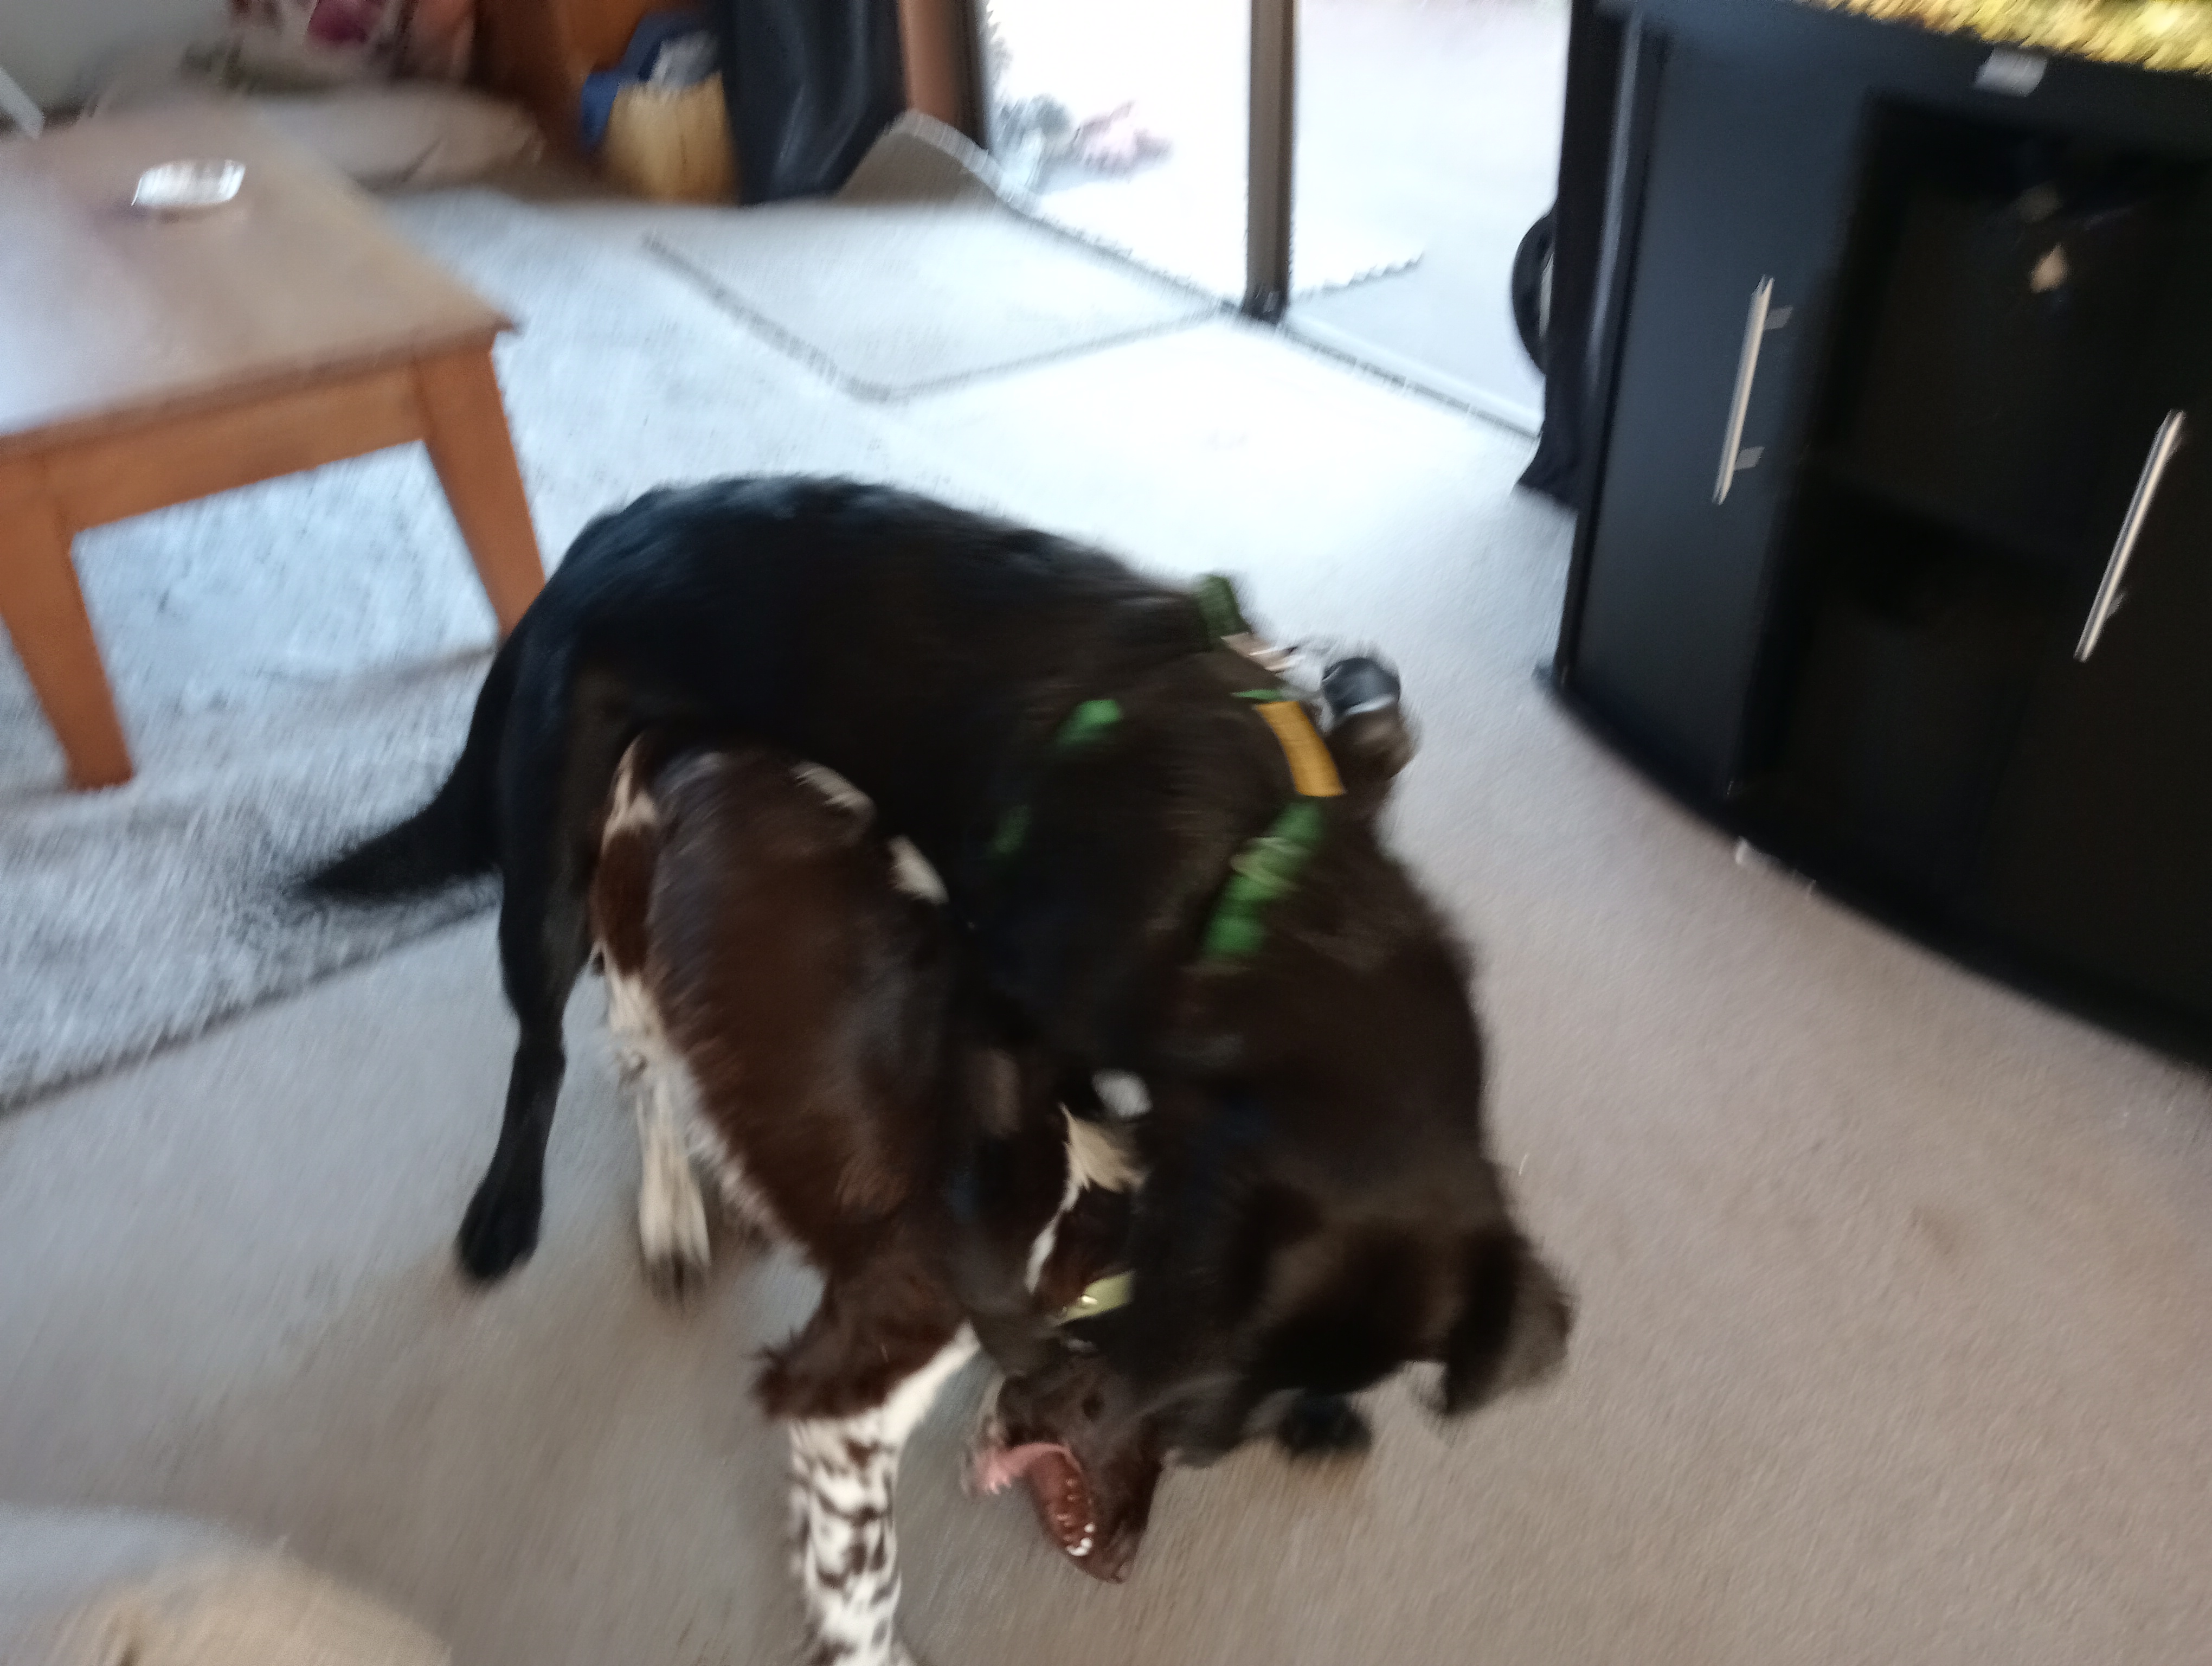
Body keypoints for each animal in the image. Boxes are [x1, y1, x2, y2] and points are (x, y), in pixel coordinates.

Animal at [314, 475, 1569, 1488]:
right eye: (1204, 1303)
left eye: (1330, 1365)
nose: (1186, 1449)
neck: (1264, 886)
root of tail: (599, 536)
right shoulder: (1000, 1011)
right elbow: (987, 1201)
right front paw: (1012, 1329)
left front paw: (1313, 1415)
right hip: (553, 874)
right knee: (555, 1047)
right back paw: (528, 1209)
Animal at [589, 728, 1159, 1664]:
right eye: (1181, 1437)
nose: (1125, 1564)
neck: (1064, 1203)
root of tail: (691, 746)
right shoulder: (842, 1402)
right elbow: (866, 1585)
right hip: (632, 948)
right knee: (652, 1088)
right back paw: (674, 1218)